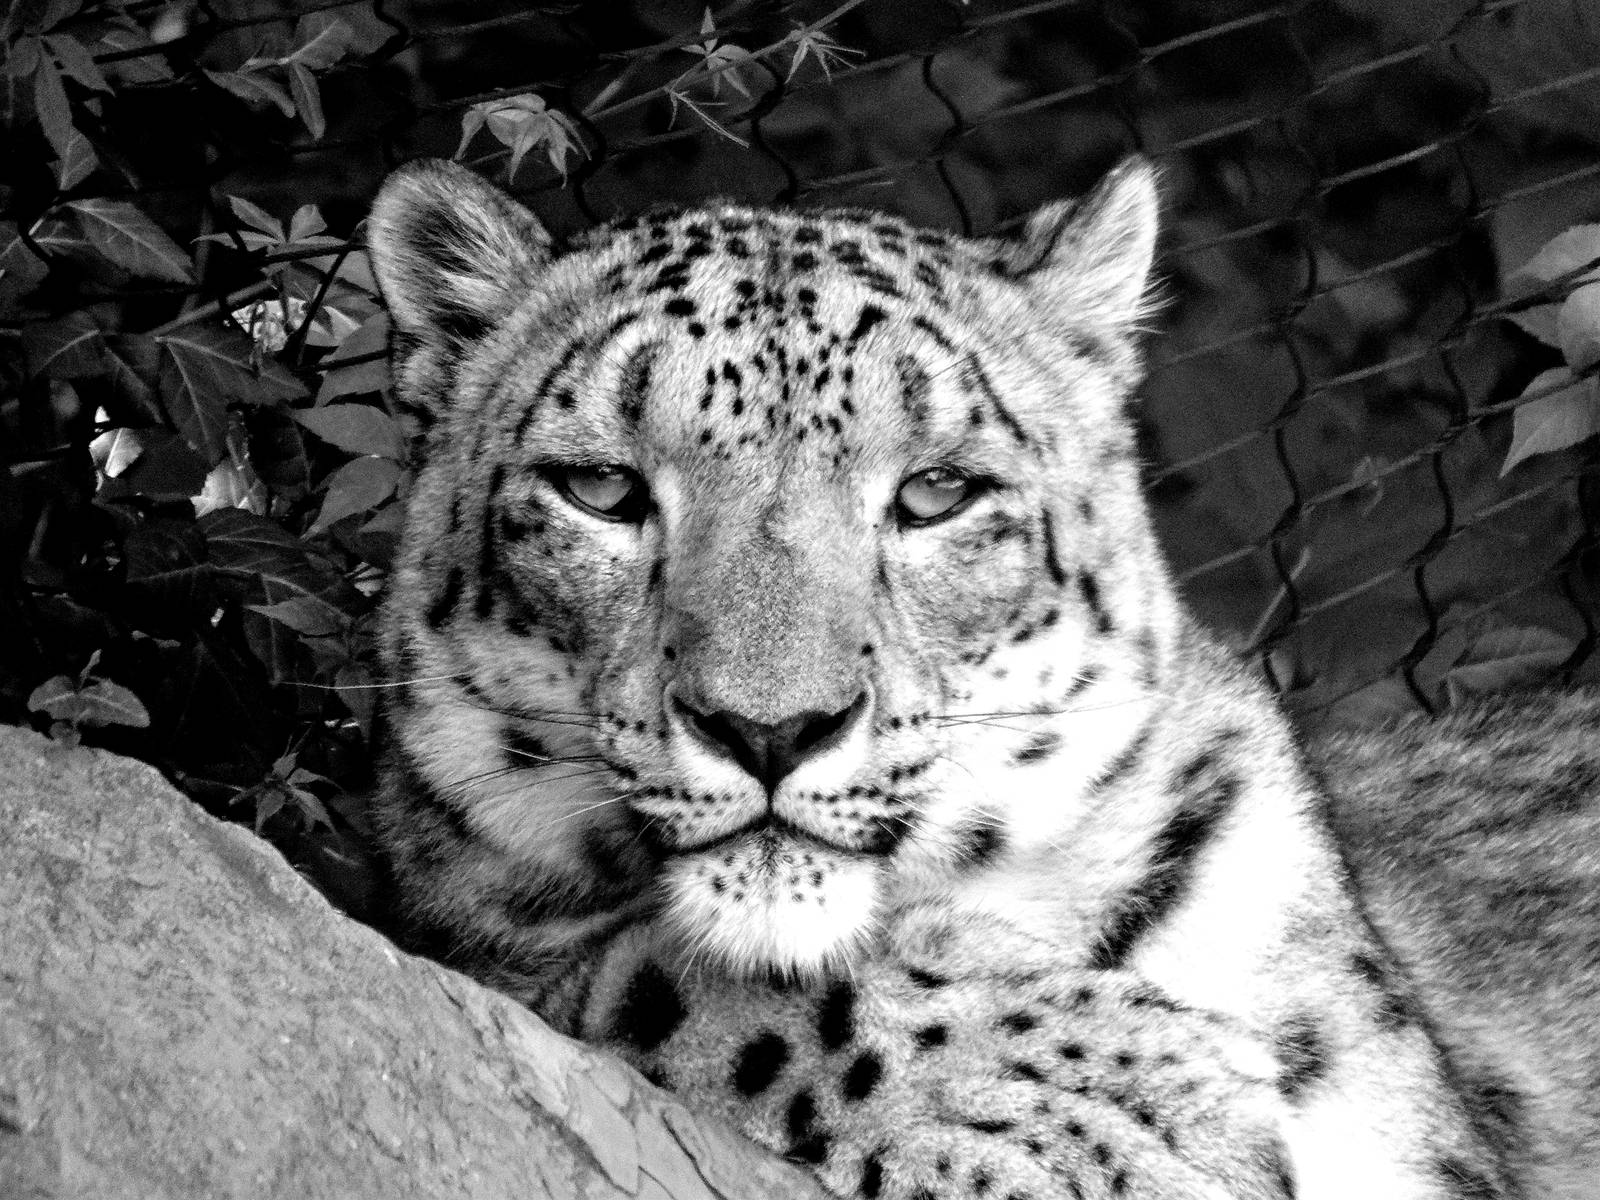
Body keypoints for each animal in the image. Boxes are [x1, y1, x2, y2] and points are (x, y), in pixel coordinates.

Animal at [363, 155, 1600, 1199]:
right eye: (601, 489)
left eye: (936, 492)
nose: (769, 729)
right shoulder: (477, 940)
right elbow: (677, 983)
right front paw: (1121, 1104)